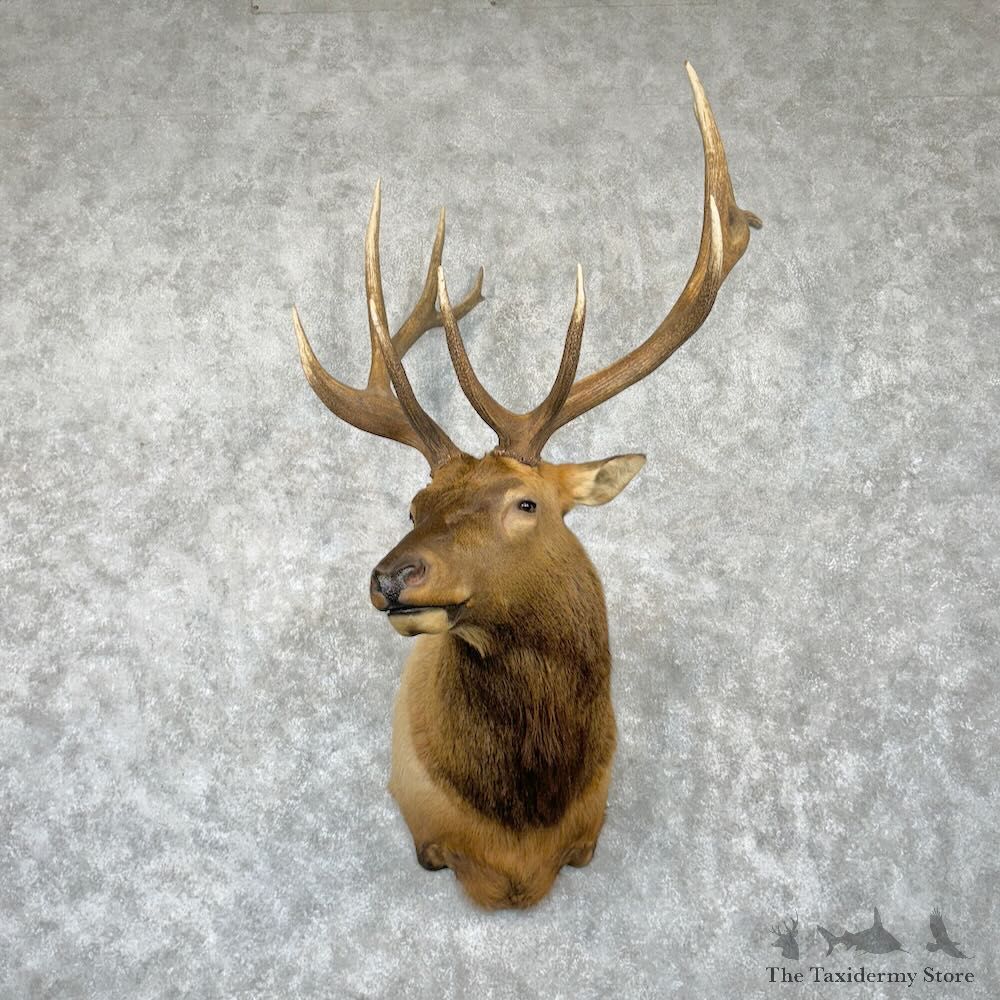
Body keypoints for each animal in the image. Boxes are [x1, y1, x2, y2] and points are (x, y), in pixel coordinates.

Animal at [290, 63, 760, 909]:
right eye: (415, 504)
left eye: (527, 503)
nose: (391, 577)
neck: (523, 827)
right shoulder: (428, 829)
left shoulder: (589, 836)